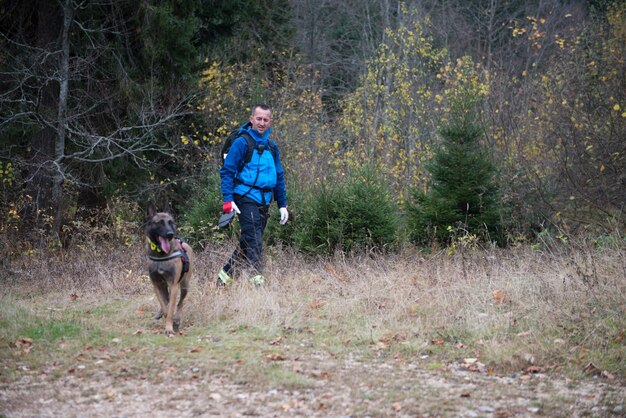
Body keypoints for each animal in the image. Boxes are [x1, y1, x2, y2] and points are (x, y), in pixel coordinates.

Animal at [144, 203, 191, 336]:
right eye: (159, 223)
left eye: (171, 222)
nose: (170, 234)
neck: (161, 255)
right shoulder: (156, 285)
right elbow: (165, 306)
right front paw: (164, 315)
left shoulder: (173, 285)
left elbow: (170, 308)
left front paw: (170, 327)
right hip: (165, 286)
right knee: (167, 300)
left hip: (184, 286)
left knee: (180, 303)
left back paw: (177, 318)